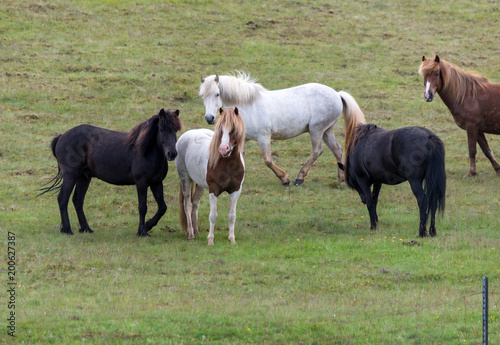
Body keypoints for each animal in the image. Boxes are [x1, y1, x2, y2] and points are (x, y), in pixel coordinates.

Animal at [39, 108, 182, 236]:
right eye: (162, 129)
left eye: (176, 130)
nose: (172, 154)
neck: (145, 151)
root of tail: (61, 137)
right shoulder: (141, 183)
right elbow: (142, 207)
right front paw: (142, 231)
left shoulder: (156, 183)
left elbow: (162, 207)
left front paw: (148, 225)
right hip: (70, 175)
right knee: (63, 198)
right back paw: (67, 230)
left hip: (83, 177)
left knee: (78, 200)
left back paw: (86, 228)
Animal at [176, 107, 246, 245]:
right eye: (220, 129)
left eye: (233, 128)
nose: (223, 149)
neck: (228, 164)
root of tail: (184, 137)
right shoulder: (214, 190)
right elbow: (213, 216)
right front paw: (210, 240)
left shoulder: (236, 190)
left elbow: (232, 216)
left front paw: (232, 239)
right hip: (185, 179)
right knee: (188, 205)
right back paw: (191, 234)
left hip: (200, 184)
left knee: (195, 203)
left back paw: (196, 230)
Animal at [197, 72, 366, 185]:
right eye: (202, 96)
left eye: (217, 94)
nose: (209, 118)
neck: (248, 106)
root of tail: (337, 94)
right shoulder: (243, 138)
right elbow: (240, 157)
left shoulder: (264, 137)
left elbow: (267, 160)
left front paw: (285, 179)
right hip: (326, 131)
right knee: (337, 149)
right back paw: (341, 178)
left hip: (316, 130)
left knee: (317, 151)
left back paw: (299, 178)